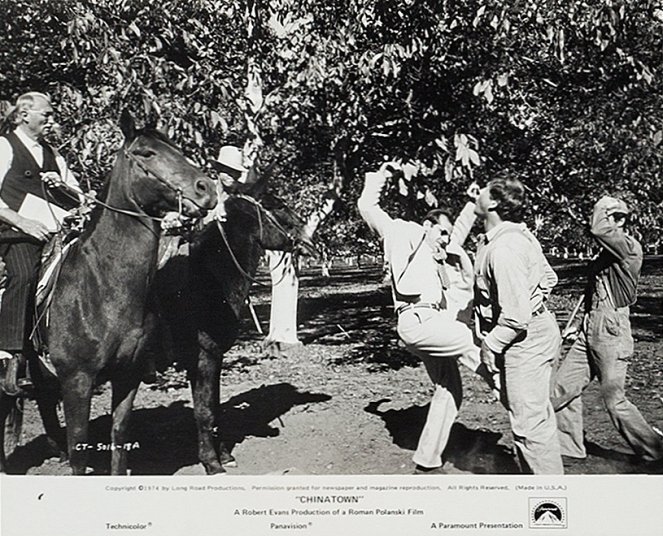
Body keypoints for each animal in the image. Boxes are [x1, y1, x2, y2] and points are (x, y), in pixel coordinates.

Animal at [0, 112, 218, 474]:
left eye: (176, 147)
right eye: (146, 153)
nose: (207, 190)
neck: (102, 287)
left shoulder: (128, 375)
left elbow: (119, 436)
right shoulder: (77, 381)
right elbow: (79, 450)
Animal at [154, 188, 316, 474]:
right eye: (279, 207)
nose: (310, 241)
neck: (206, 282)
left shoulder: (209, 359)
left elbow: (213, 406)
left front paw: (224, 455)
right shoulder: (205, 357)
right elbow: (205, 411)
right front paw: (211, 462)